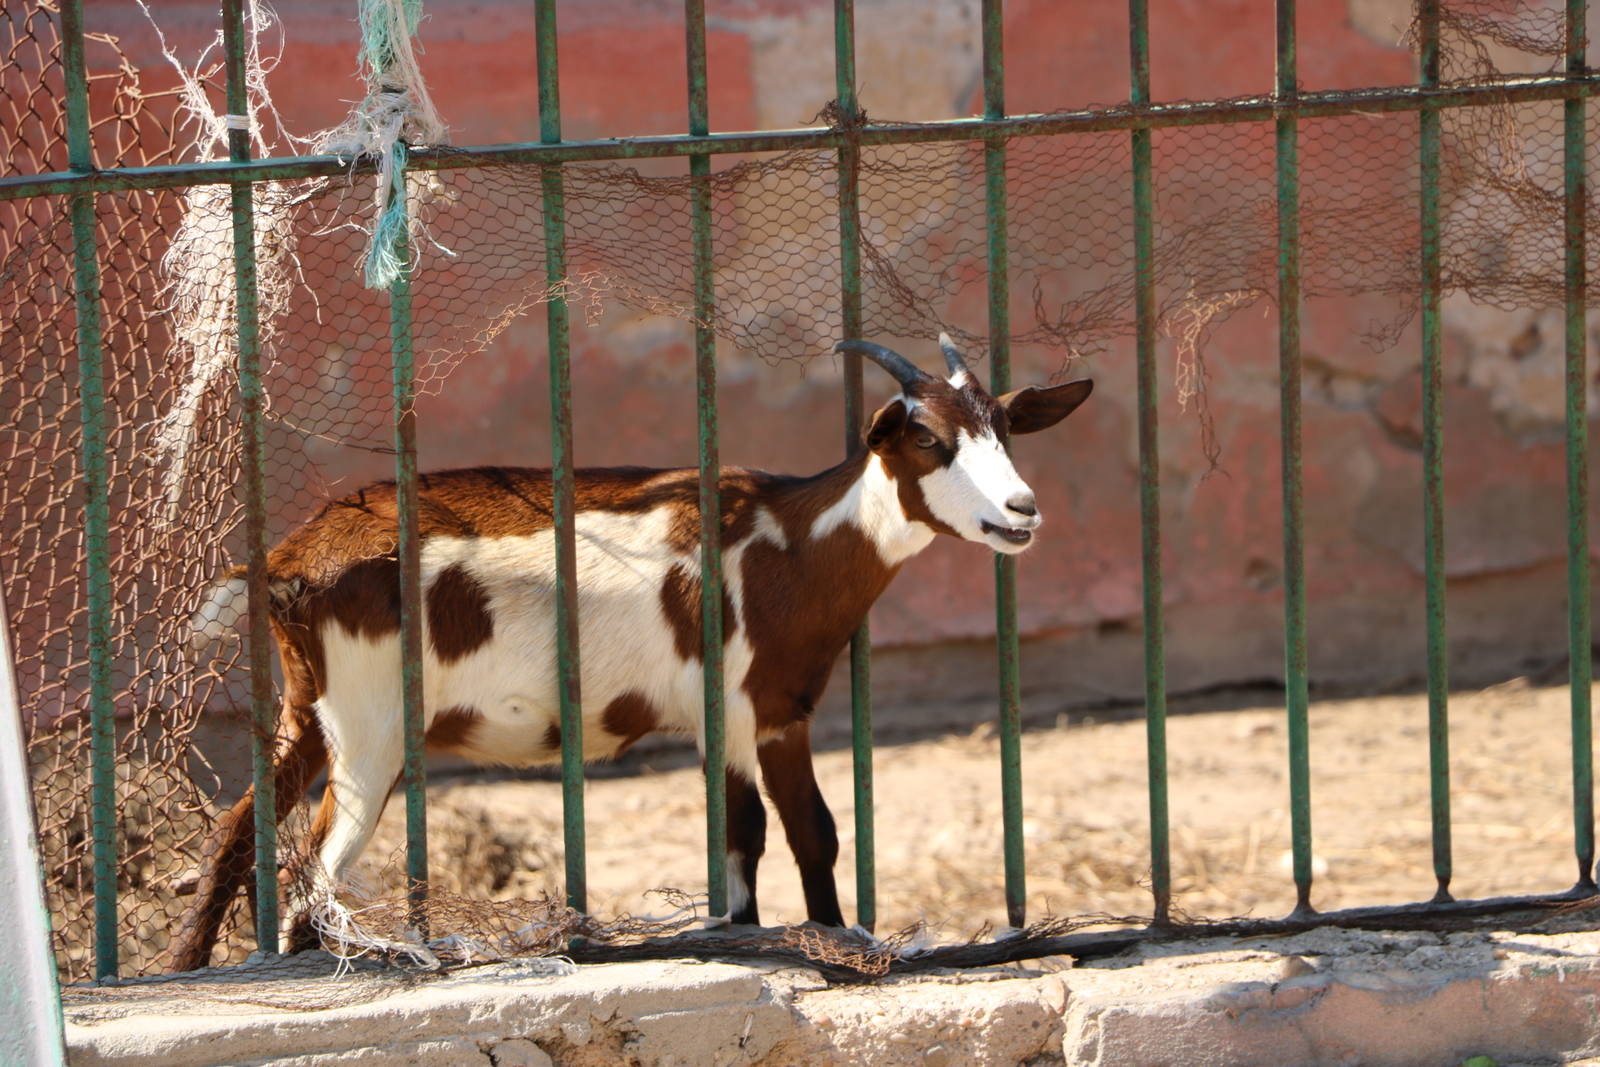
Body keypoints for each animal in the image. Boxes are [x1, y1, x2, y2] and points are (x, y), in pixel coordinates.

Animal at [167, 335, 1092, 971]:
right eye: (927, 439)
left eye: (1004, 428)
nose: (1022, 509)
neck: (787, 540)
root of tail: (288, 560)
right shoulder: (757, 710)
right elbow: (794, 837)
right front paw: (823, 948)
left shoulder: (739, 719)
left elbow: (760, 843)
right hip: (372, 732)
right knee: (315, 878)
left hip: (311, 711)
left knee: (238, 831)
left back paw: (188, 965)